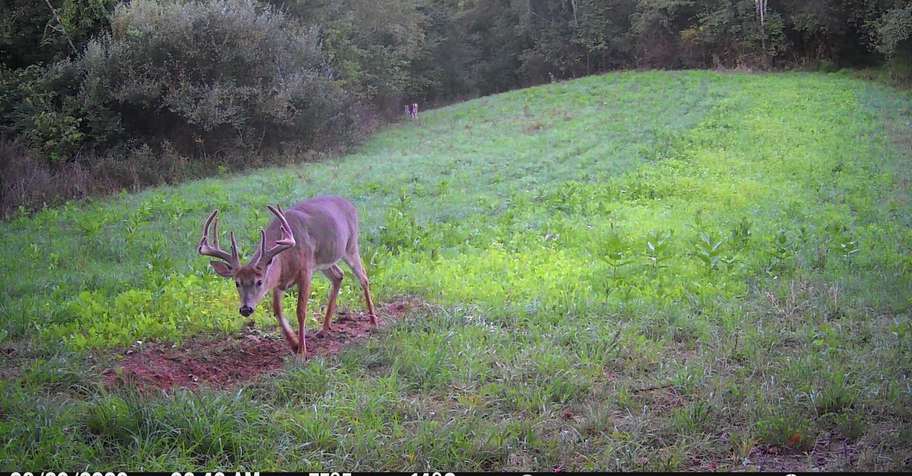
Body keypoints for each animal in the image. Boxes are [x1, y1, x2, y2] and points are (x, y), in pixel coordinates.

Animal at [197, 196, 377, 356]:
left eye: (259, 282)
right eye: (237, 283)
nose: (246, 308)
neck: (286, 259)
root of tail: (349, 203)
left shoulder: (305, 272)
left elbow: (301, 311)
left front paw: (302, 351)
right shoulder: (279, 283)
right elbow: (277, 311)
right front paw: (294, 343)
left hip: (350, 246)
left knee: (363, 278)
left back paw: (373, 322)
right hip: (325, 261)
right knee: (338, 275)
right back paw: (324, 329)